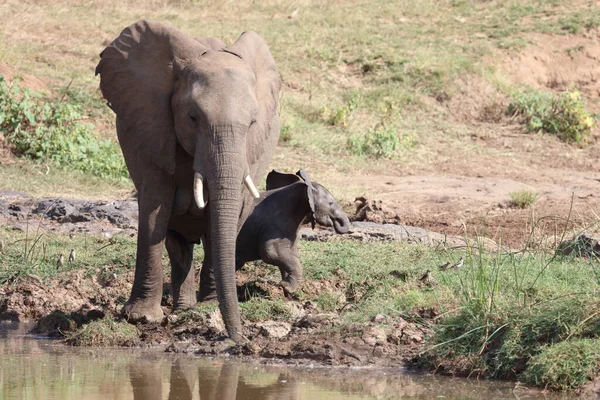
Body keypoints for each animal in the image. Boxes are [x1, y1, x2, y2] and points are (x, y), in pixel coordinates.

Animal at [95, 20, 280, 342]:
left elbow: (229, 214)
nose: (242, 339)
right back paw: (184, 308)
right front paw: (141, 317)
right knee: (176, 240)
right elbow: (155, 208)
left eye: (253, 123)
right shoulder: (148, 129)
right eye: (193, 117)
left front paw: (209, 307)